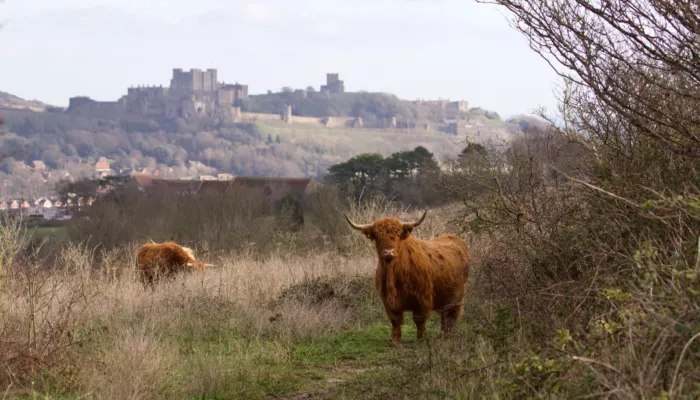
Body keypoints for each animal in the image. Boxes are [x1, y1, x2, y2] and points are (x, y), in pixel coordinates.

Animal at [345, 210, 470, 342]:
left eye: (398, 234)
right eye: (377, 235)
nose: (388, 252)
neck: (393, 273)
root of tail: (455, 239)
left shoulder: (422, 297)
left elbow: (419, 320)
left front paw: (421, 338)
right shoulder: (387, 300)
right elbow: (395, 320)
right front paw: (394, 339)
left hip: (456, 295)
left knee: (452, 315)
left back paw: (448, 336)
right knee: (445, 315)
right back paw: (442, 335)